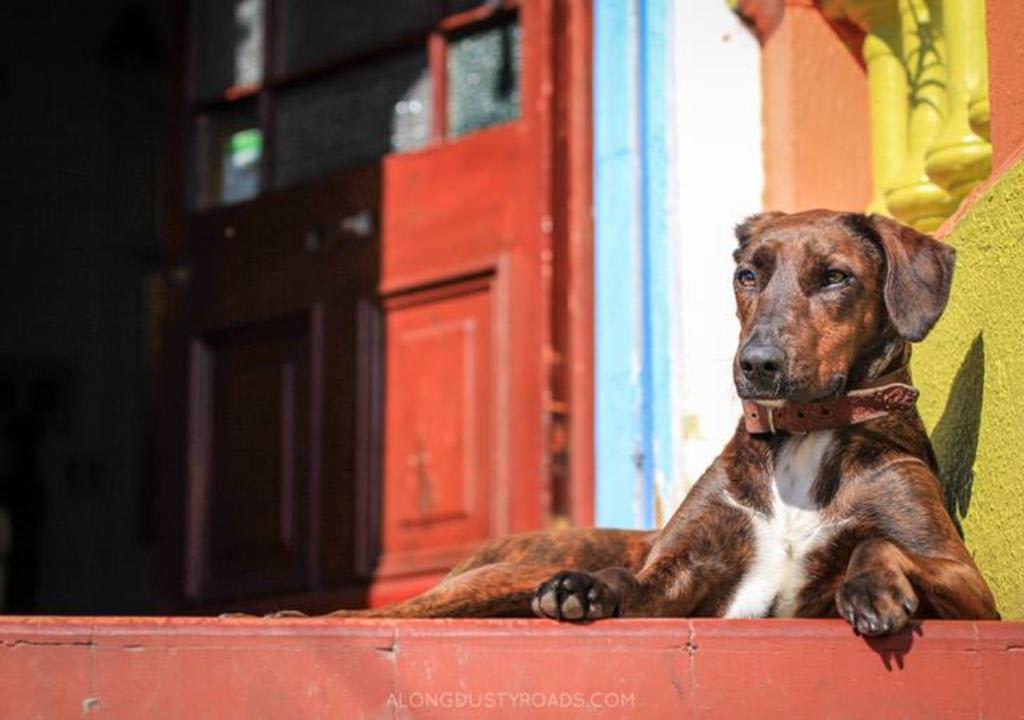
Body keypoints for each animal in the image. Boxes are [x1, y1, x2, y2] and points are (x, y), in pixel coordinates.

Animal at [323, 209, 995, 634]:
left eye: (835, 278)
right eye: (746, 275)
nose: (757, 365)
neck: (804, 434)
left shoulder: (970, 585)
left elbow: (880, 542)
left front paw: (870, 587)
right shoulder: (676, 574)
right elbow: (631, 579)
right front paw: (586, 589)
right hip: (501, 576)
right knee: (365, 615)